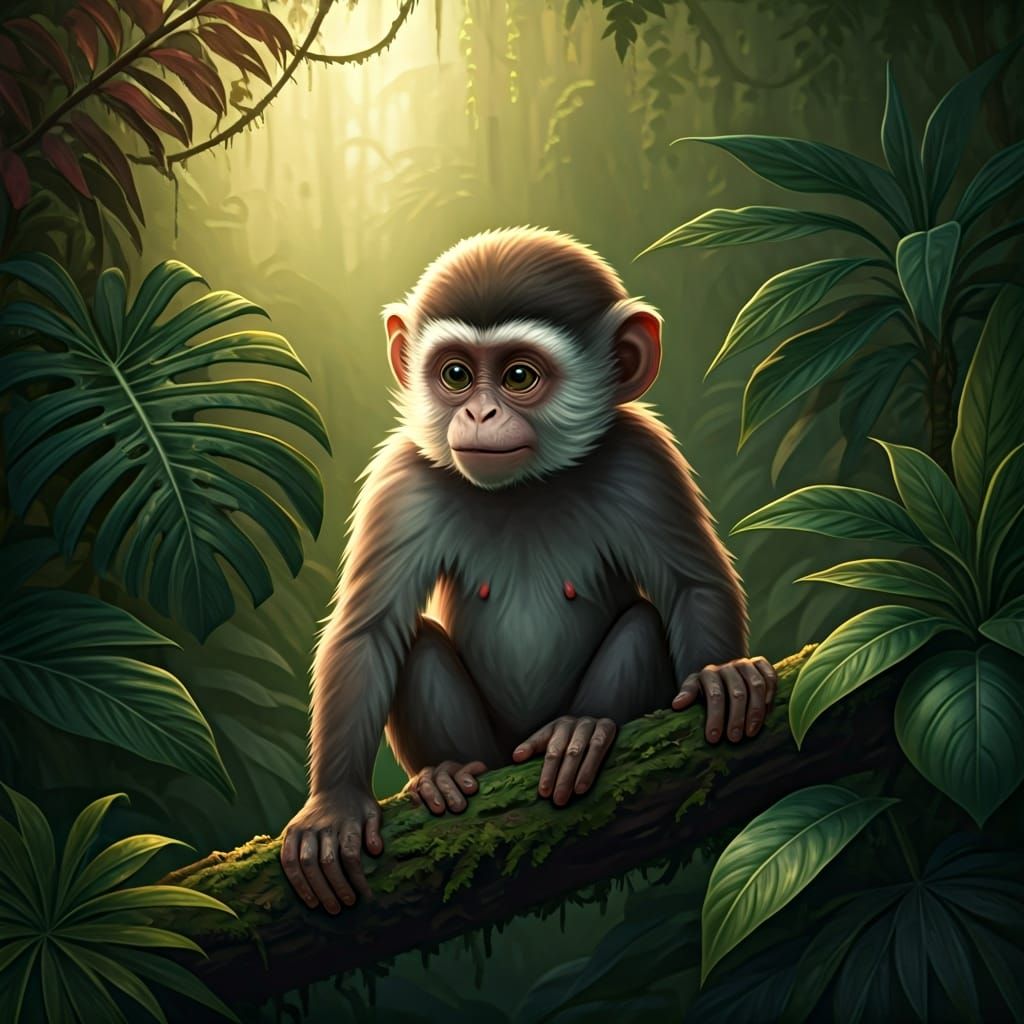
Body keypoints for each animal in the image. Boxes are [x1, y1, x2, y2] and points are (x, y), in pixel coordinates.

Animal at [281, 227, 778, 913]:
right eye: (456, 375)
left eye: (519, 376)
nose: (480, 415)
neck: (525, 486)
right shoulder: (401, 479)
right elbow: (367, 631)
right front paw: (332, 806)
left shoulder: (643, 455)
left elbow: (692, 586)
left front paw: (718, 676)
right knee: (417, 643)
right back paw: (445, 772)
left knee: (641, 620)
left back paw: (580, 731)